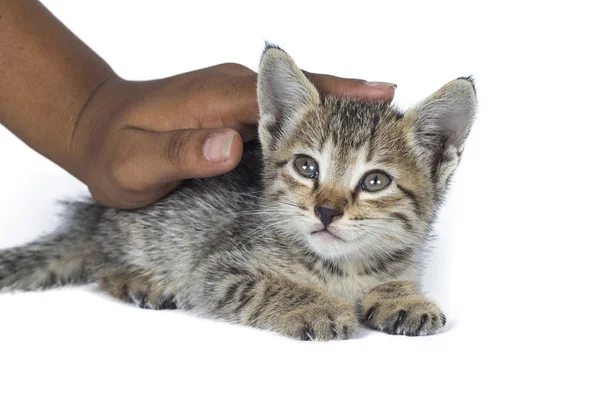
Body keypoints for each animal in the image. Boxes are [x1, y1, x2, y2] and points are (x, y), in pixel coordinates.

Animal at [1, 45, 478, 340]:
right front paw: (317, 306)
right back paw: (141, 282)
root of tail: (93, 217)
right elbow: (273, 287)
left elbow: (396, 278)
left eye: (375, 181)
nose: (326, 211)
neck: (342, 268)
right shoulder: (217, 271)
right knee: (105, 267)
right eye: (307, 167)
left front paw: (405, 299)